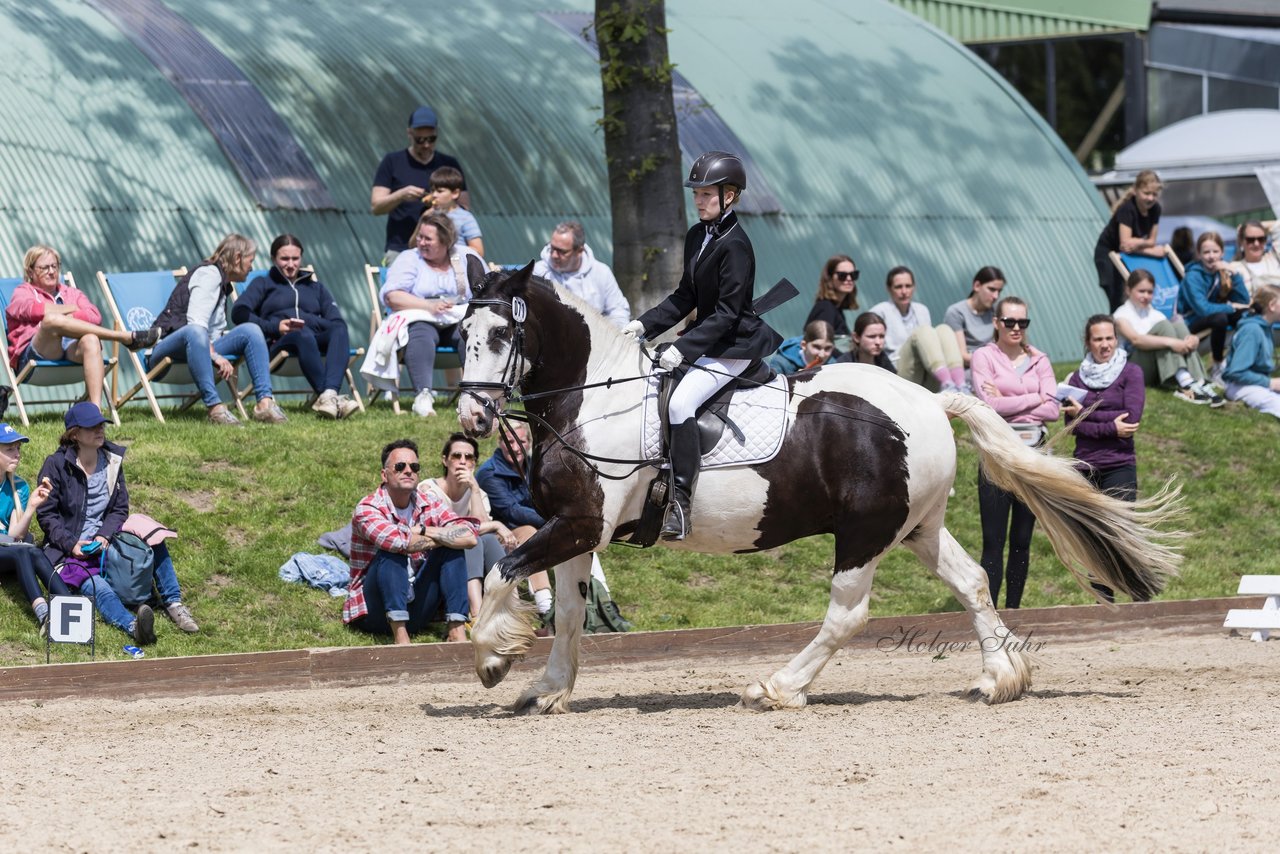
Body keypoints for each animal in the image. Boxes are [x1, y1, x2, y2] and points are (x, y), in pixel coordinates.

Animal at [455, 261, 1182, 717]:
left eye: (502, 332)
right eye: (460, 333)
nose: (471, 416)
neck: (592, 396)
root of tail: (931, 399)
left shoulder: (579, 525)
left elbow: (503, 571)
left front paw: (493, 658)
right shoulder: (579, 528)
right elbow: (567, 612)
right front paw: (546, 690)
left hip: (865, 532)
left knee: (847, 614)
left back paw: (777, 686)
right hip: (916, 527)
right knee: (973, 580)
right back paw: (1000, 678)